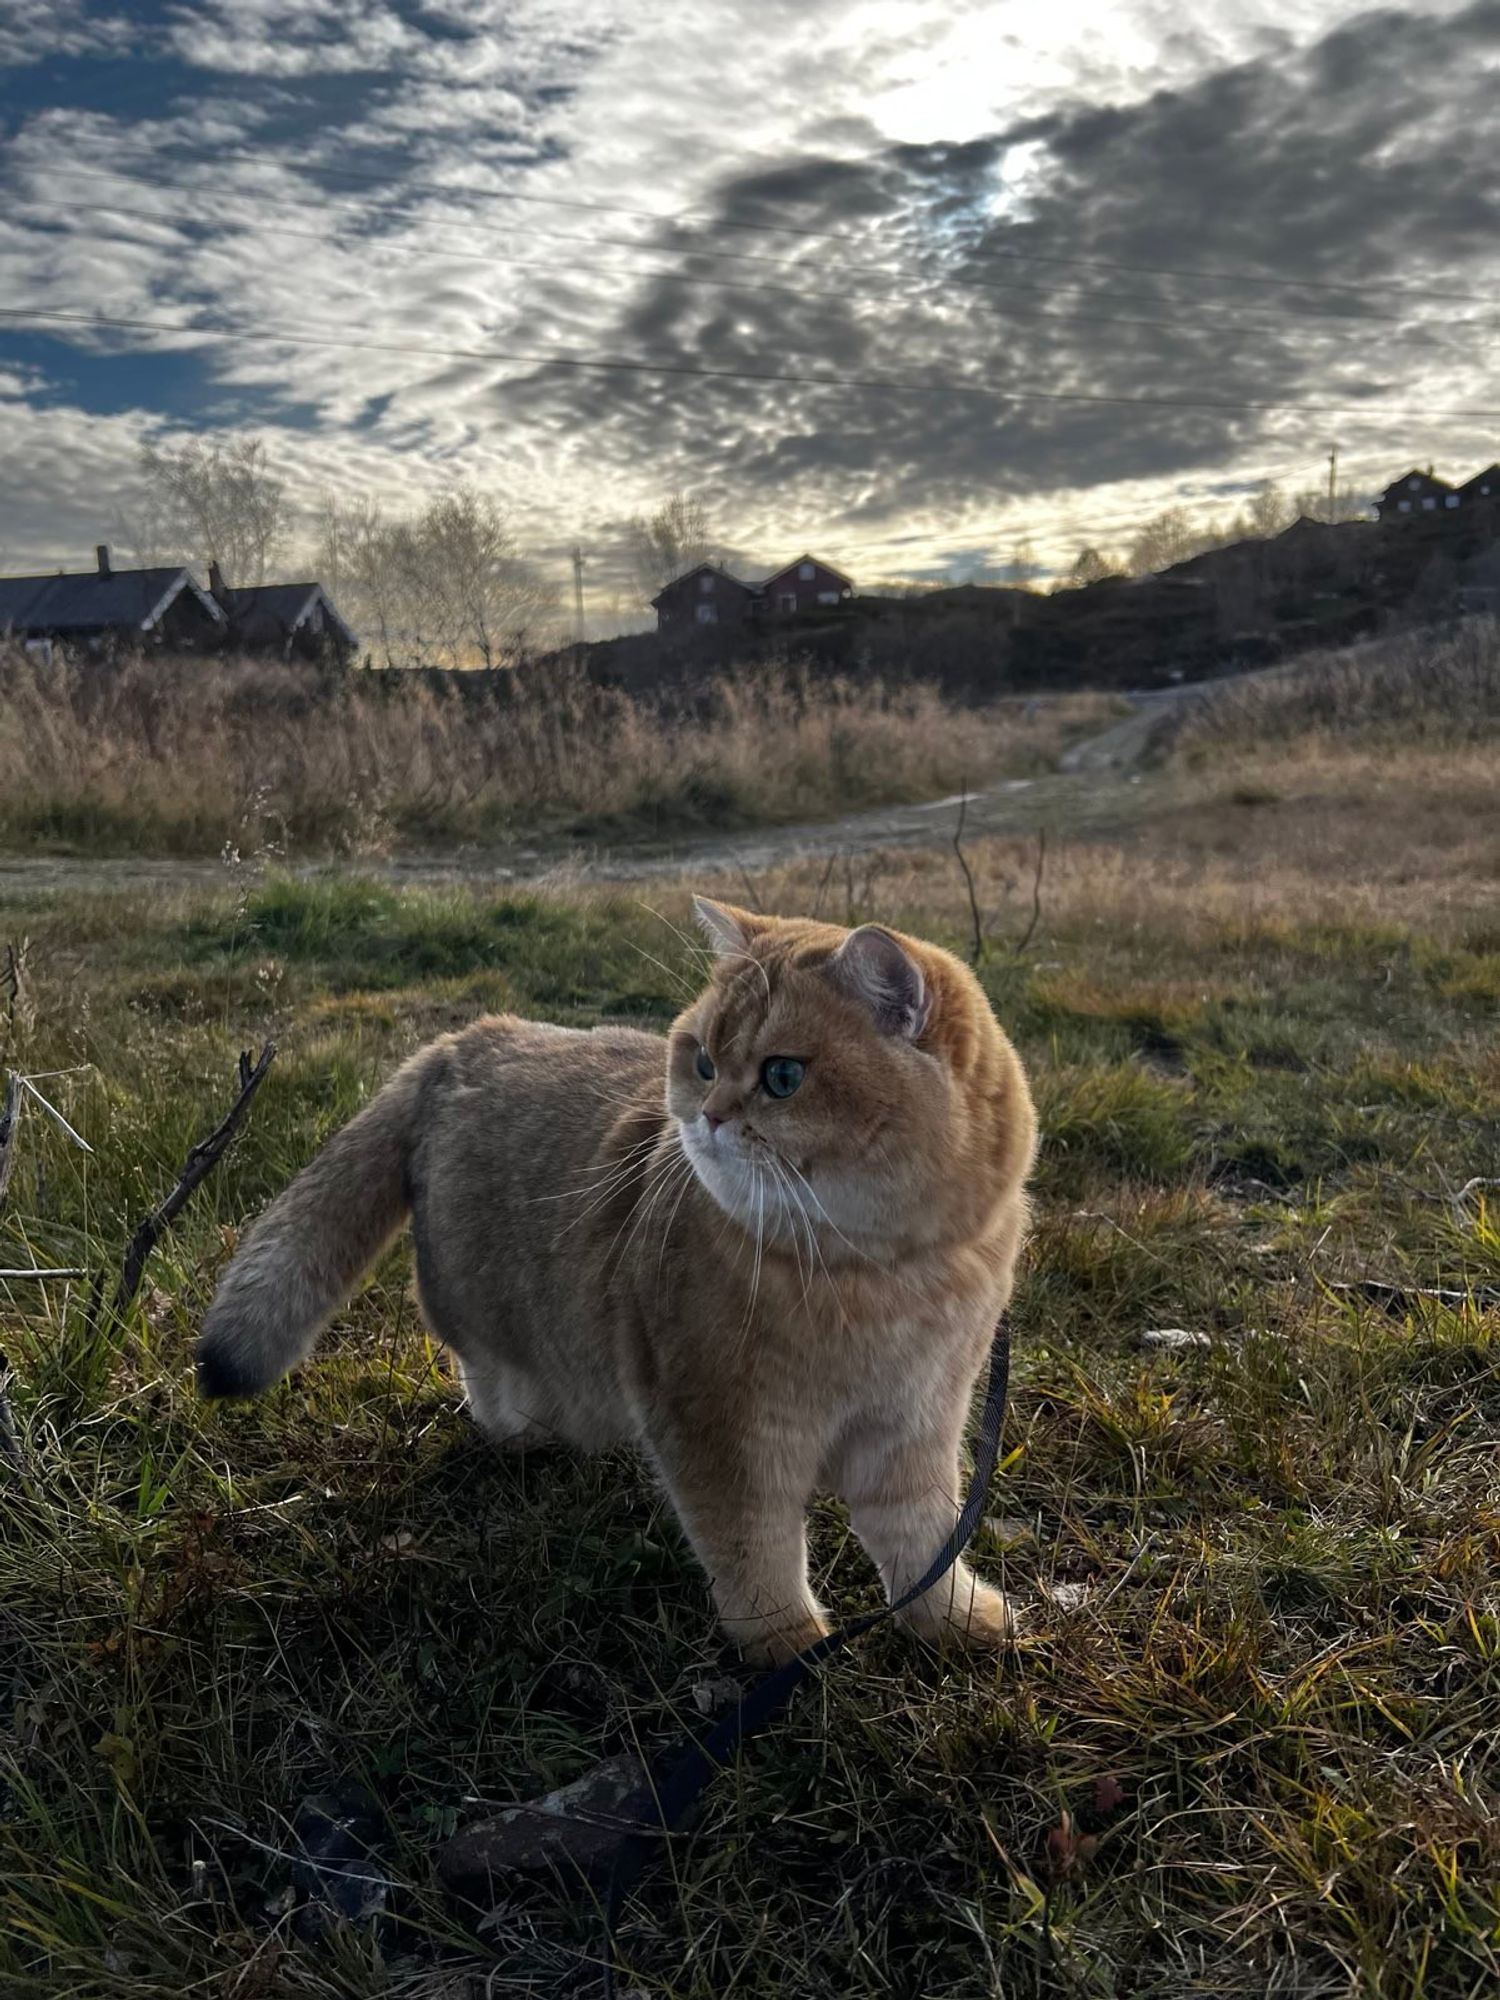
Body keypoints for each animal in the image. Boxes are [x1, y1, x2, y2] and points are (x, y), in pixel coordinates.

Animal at [200, 900, 1040, 1664]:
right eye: (703, 1062)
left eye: (783, 1076)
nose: (709, 1116)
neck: (882, 1276)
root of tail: (467, 1039)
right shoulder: (720, 1437)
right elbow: (755, 1551)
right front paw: (789, 1647)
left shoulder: (917, 1425)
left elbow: (922, 1538)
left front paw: (951, 1617)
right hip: (486, 1318)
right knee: (490, 1376)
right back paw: (534, 1432)